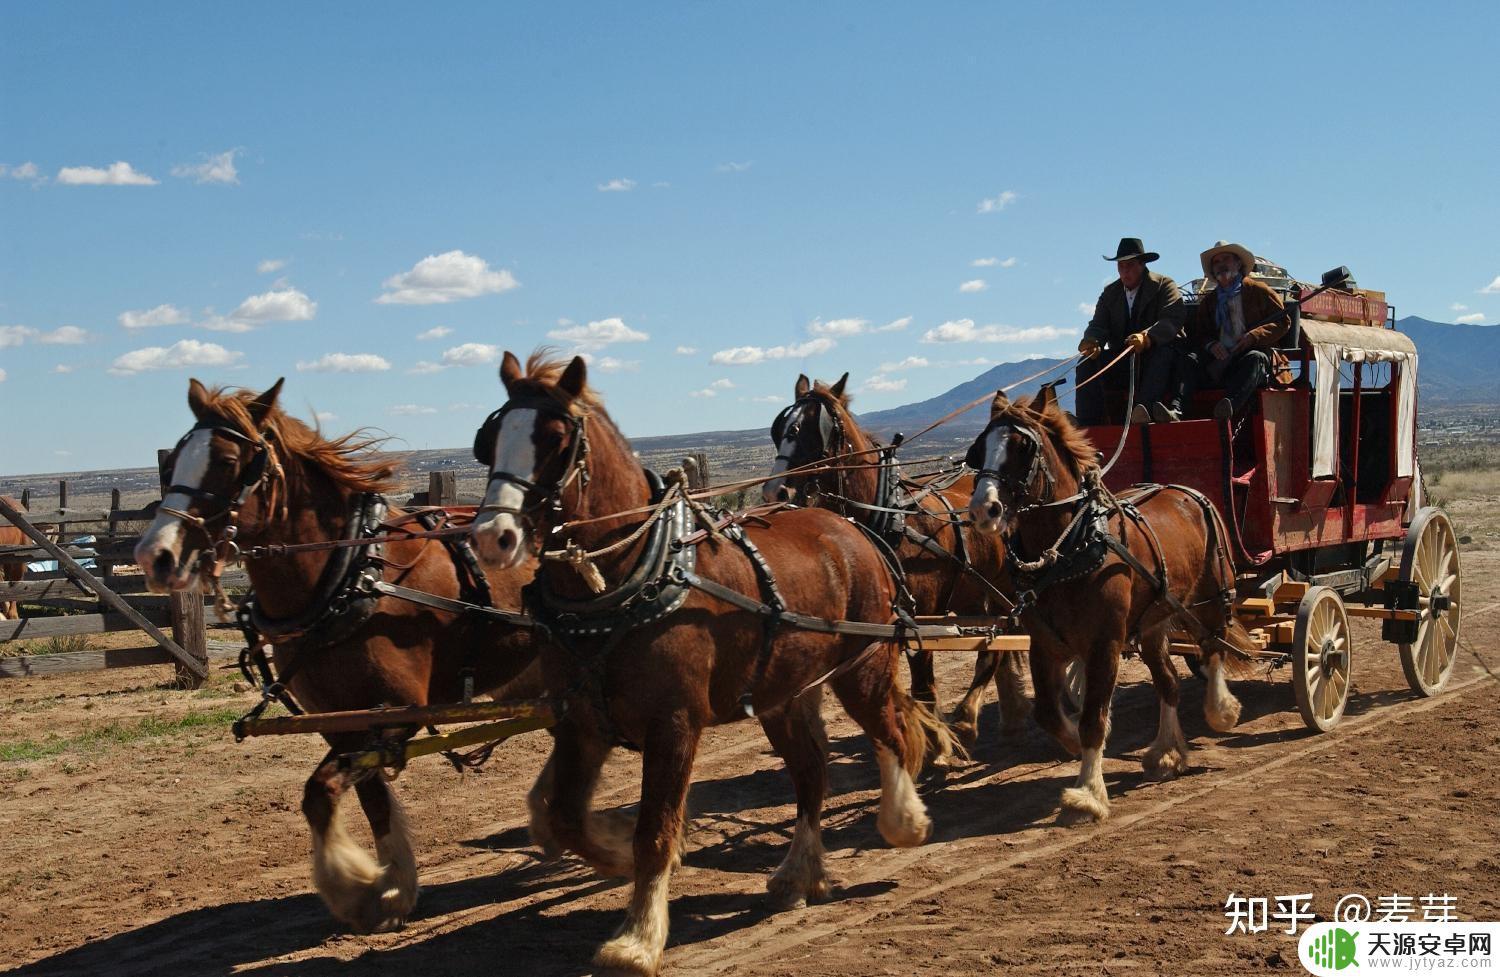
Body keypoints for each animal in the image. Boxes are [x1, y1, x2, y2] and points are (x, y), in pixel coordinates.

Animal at [135, 379, 543, 930]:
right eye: (175, 459)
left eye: (227, 460)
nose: (155, 555)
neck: (352, 576)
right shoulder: (341, 719)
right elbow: (364, 800)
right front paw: (389, 890)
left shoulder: (395, 714)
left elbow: (322, 790)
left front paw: (352, 886)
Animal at [474, 354, 954, 977]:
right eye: (488, 441)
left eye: (554, 439)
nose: (493, 535)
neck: (629, 579)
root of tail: (852, 529)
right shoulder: (581, 722)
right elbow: (565, 815)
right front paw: (614, 850)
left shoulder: (675, 723)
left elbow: (655, 830)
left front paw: (638, 937)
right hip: (782, 694)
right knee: (811, 771)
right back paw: (799, 873)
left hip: (862, 670)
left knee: (891, 732)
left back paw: (905, 822)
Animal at [762, 375, 1032, 741]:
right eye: (779, 429)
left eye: (813, 430)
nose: (774, 492)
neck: (891, 518)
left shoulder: (923, 618)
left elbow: (924, 687)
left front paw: (938, 744)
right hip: (973, 592)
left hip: (1004, 587)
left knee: (998, 649)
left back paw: (967, 718)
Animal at [960, 387, 1254, 822]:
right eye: (979, 449)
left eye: (1022, 447)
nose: (984, 509)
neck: (1071, 549)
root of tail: (1187, 491)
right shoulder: (1044, 643)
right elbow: (1050, 713)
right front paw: (1070, 744)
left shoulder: (1105, 644)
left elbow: (1093, 720)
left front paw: (1088, 793)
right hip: (1152, 625)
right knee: (1168, 681)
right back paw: (1167, 753)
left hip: (1212, 596)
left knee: (1214, 645)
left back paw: (1221, 710)